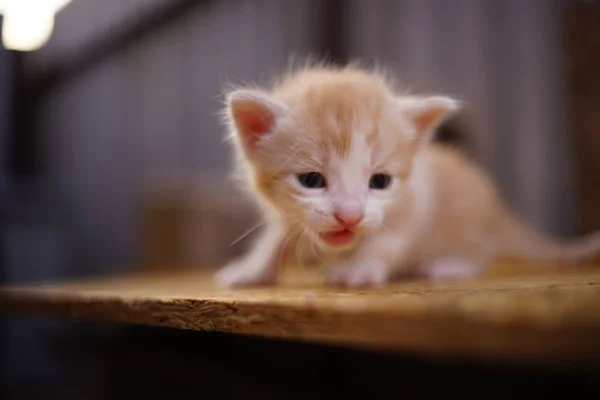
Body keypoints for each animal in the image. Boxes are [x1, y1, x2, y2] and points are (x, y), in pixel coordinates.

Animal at [214, 65, 600, 288]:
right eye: (310, 180)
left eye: (380, 182)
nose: (349, 215)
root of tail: (497, 211)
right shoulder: (288, 215)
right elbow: (276, 237)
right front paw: (251, 270)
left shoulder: (414, 202)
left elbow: (388, 239)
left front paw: (360, 267)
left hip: (470, 225)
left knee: (482, 251)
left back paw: (448, 266)